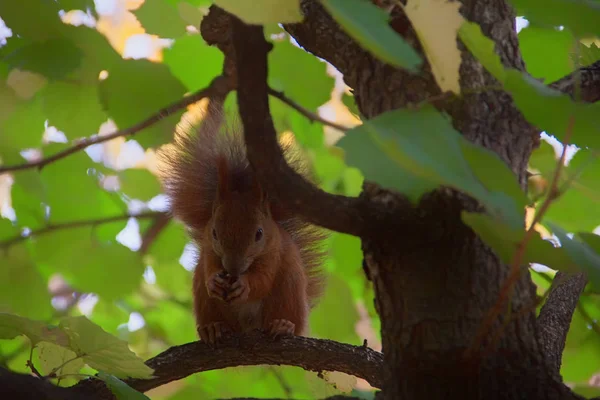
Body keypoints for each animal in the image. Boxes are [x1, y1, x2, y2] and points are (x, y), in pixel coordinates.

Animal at [159, 104, 326, 346]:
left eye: (259, 233)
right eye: (214, 232)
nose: (233, 268)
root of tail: (248, 328)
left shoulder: (274, 252)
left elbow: (263, 279)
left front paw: (245, 285)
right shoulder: (209, 250)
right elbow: (210, 267)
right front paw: (214, 281)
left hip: (288, 289)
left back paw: (283, 325)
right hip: (204, 300)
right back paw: (213, 328)